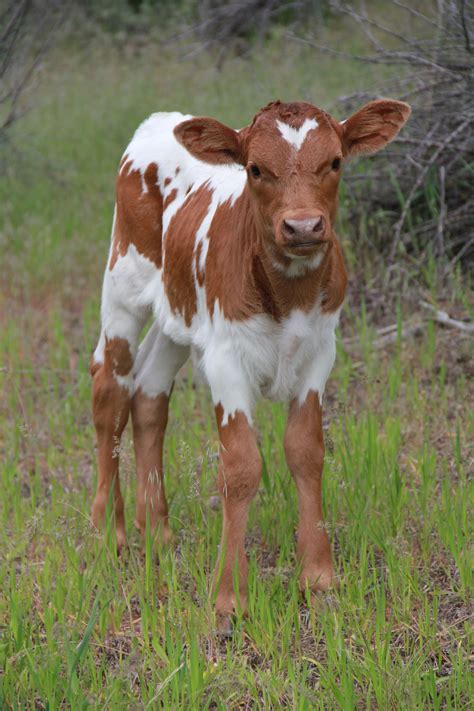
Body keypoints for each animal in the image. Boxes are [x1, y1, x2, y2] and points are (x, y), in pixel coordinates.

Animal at [90, 98, 411, 627]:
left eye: (335, 162)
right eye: (256, 169)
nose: (302, 226)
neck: (289, 293)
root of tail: (162, 119)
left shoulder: (320, 352)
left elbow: (306, 451)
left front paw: (318, 578)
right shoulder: (226, 359)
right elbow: (240, 468)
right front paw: (229, 598)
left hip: (176, 314)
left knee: (149, 393)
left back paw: (156, 532)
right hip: (122, 285)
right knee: (108, 390)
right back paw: (106, 532)